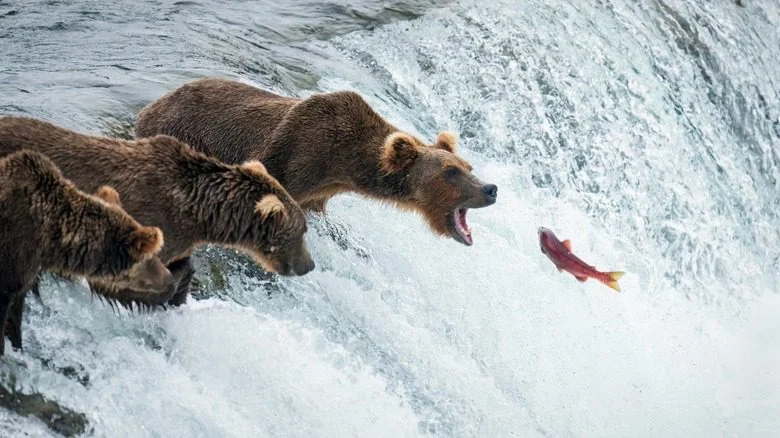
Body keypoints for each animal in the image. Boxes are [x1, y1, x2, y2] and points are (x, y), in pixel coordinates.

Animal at [134, 78, 498, 246]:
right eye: (450, 172)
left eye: (468, 167)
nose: (490, 189)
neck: (344, 163)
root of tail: (149, 107)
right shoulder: (297, 157)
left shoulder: (320, 191)